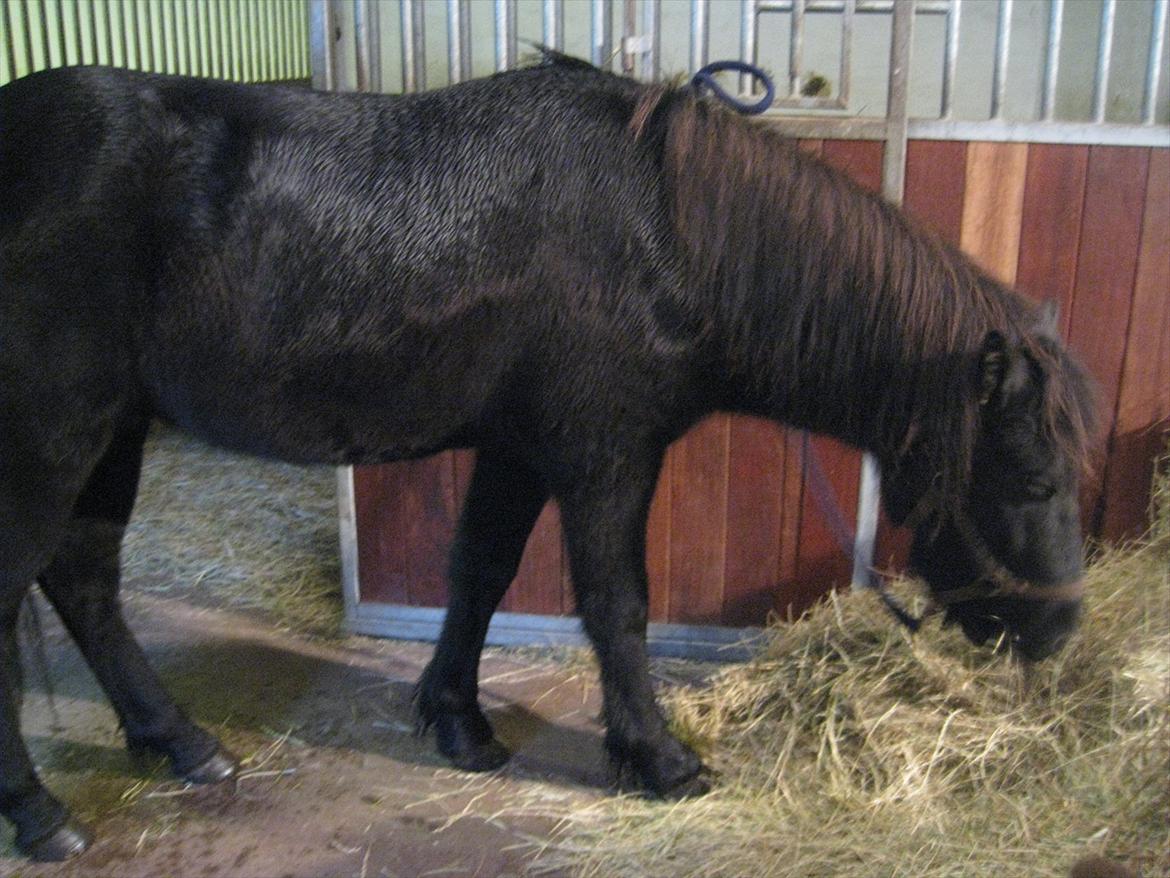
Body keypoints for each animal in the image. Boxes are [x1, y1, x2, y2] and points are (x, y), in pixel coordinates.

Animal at [0, 53, 1097, 861]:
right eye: (1033, 480)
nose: (1058, 633)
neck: (665, 233)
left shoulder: (519, 450)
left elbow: (479, 575)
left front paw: (459, 723)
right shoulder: (604, 454)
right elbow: (617, 603)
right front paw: (657, 757)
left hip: (111, 434)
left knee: (85, 582)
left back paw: (179, 742)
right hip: (51, 440)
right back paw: (44, 813)